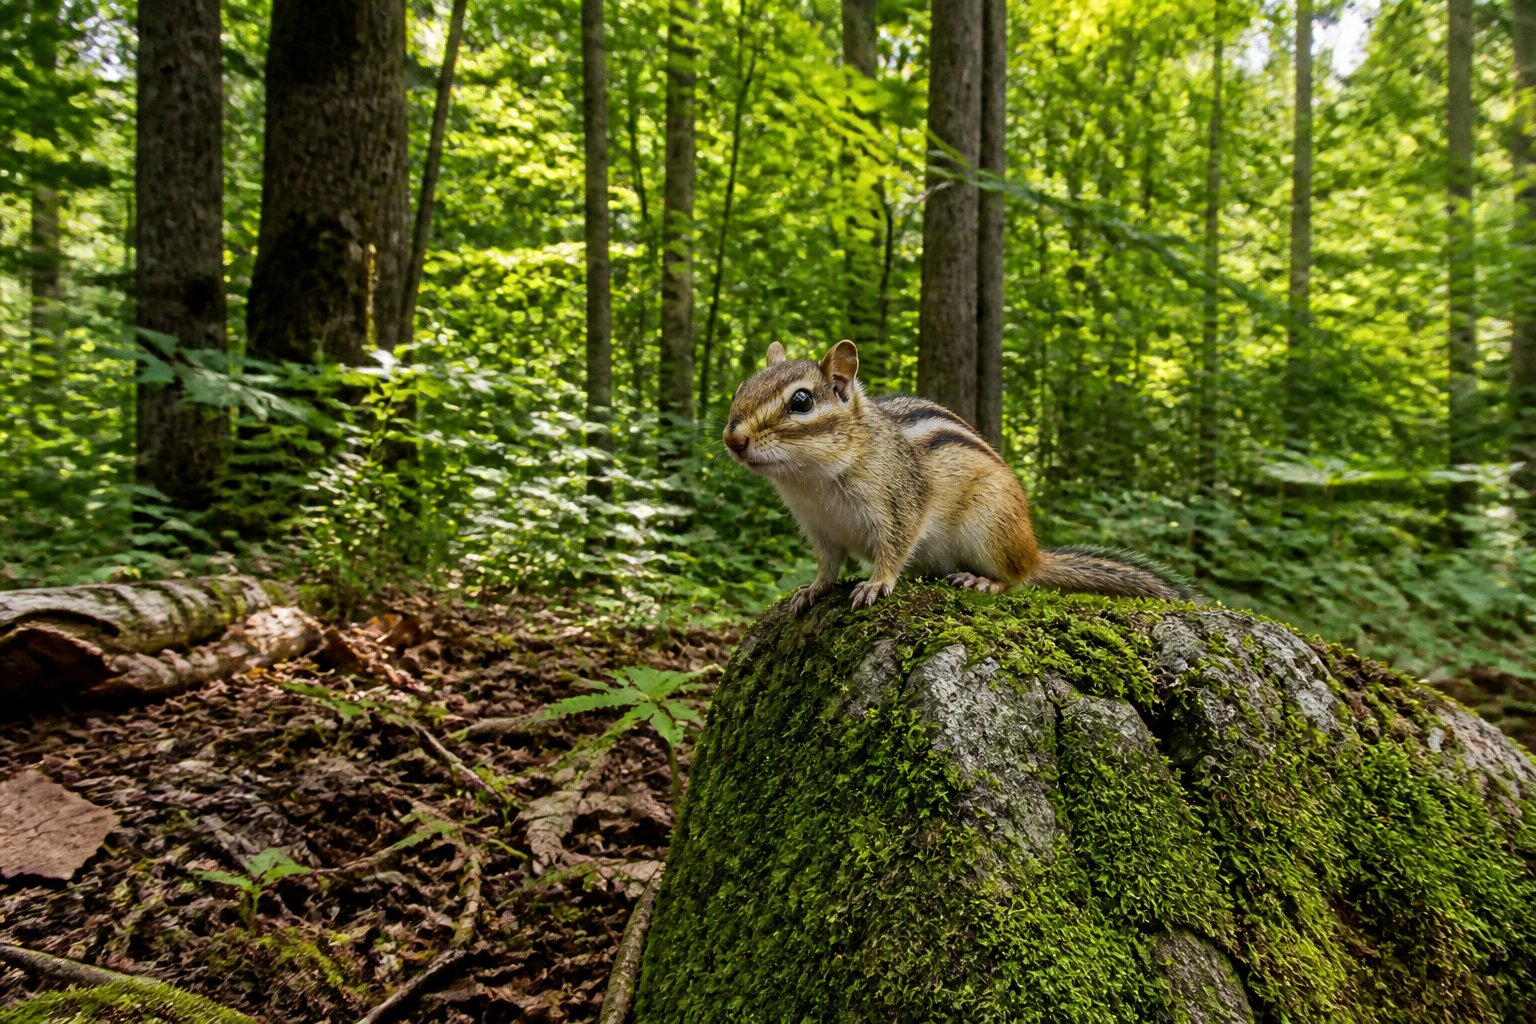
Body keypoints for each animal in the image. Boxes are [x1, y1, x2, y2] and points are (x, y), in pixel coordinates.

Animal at [722, 340, 1192, 614]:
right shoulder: (818, 527)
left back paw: (981, 580)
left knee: (1018, 579)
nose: (733, 439)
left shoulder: (899, 506)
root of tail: (1034, 551)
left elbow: (893, 549)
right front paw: (813, 589)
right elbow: (827, 565)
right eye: (743, 387)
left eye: (801, 401)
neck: (811, 481)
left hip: (990, 525)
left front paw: (876, 584)